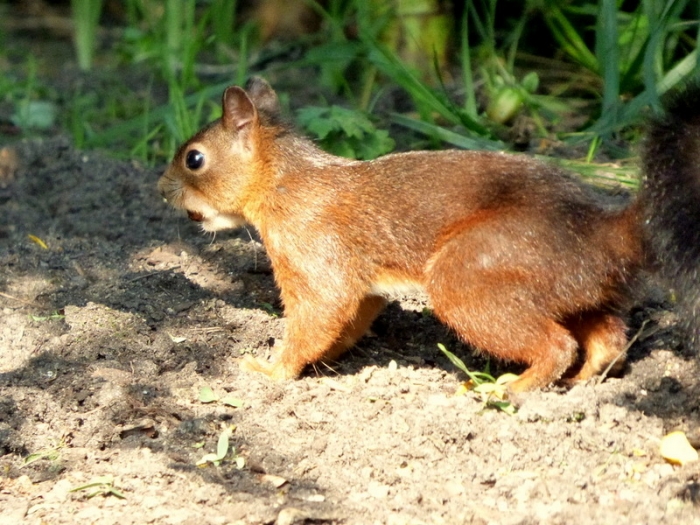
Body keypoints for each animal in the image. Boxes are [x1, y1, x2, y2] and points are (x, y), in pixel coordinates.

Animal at [157, 76, 696, 392]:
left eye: (194, 158)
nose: (160, 190)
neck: (286, 181)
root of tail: (602, 231)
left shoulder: (313, 252)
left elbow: (319, 311)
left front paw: (270, 371)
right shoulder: (365, 286)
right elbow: (348, 320)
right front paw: (327, 360)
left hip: (469, 277)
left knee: (556, 345)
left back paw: (512, 389)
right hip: (573, 289)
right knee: (607, 337)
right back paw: (584, 382)